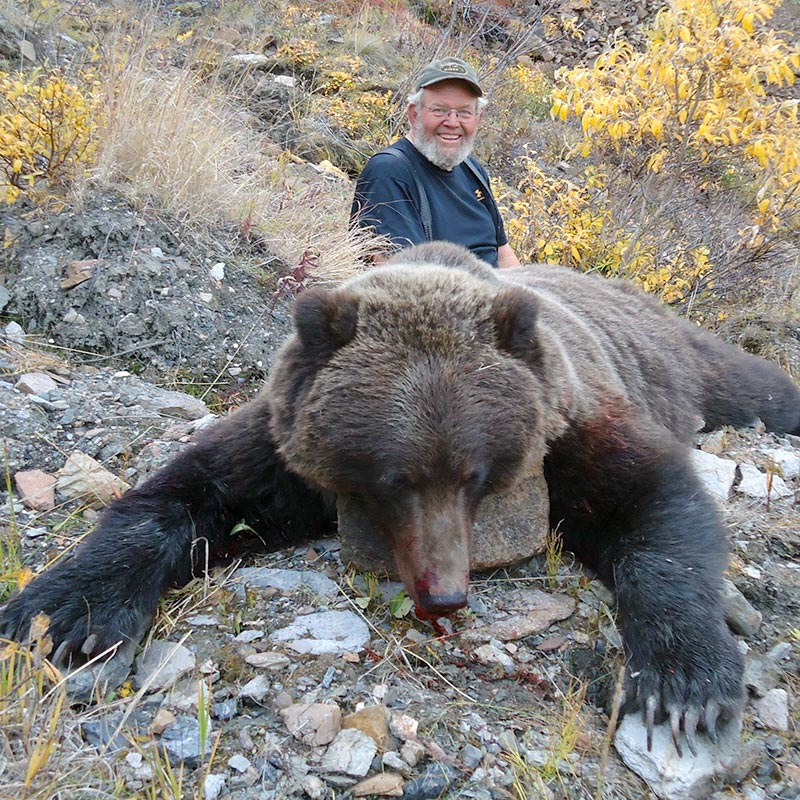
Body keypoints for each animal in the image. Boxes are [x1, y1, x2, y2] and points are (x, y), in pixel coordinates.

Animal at [1, 241, 800, 752]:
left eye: (477, 473)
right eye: (396, 477)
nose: (444, 594)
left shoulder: (573, 418)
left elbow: (652, 502)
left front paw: (684, 682)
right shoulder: (287, 446)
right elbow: (194, 492)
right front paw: (62, 612)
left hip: (682, 357)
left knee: (759, 385)